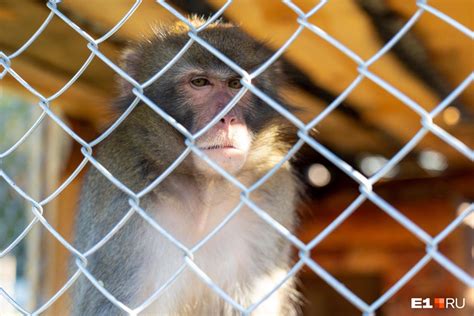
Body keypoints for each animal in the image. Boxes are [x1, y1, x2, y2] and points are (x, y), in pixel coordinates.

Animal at [72, 17, 300, 316]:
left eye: (236, 84)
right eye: (200, 82)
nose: (228, 118)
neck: (206, 190)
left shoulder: (271, 194)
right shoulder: (122, 188)